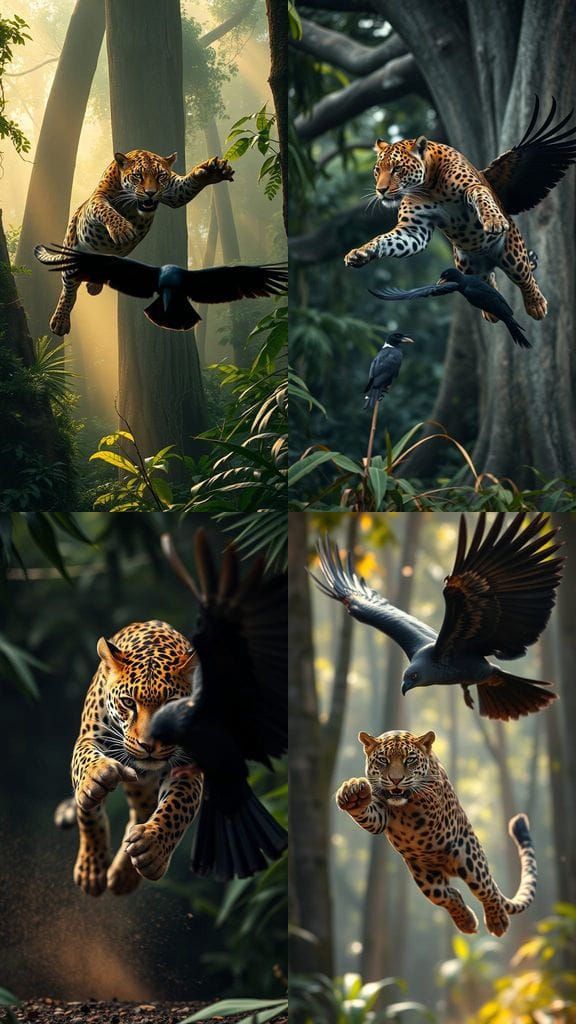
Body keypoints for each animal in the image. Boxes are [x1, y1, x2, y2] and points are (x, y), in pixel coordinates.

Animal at [47, 149, 234, 336]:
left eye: (161, 176)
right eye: (137, 176)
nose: (151, 192)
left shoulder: (174, 192)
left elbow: (187, 185)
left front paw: (213, 171)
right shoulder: (97, 199)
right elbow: (106, 210)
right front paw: (122, 229)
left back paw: (93, 286)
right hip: (72, 251)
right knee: (68, 290)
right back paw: (60, 322)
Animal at [54, 620, 204, 897]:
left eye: (171, 703)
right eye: (128, 702)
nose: (148, 745)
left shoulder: (188, 763)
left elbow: (177, 807)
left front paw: (152, 848)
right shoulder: (89, 737)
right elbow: (87, 794)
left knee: (141, 814)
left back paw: (126, 871)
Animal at [336, 729, 537, 936]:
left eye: (410, 760)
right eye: (383, 760)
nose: (395, 780)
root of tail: (449, 868)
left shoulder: (433, 806)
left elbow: (418, 793)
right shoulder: (379, 814)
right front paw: (353, 794)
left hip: (470, 859)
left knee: (486, 889)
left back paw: (498, 921)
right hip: (426, 878)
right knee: (449, 895)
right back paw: (467, 922)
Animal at [345, 136, 547, 322]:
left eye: (397, 168)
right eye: (377, 170)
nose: (381, 190)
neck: (429, 185)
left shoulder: (473, 186)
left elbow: (482, 197)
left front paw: (494, 220)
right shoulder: (413, 229)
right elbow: (384, 239)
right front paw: (361, 253)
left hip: (513, 255)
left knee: (526, 277)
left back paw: (536, 304)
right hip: (468, 267)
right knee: (486, 283)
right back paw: (491, 311)